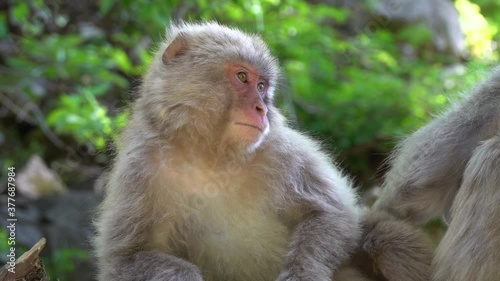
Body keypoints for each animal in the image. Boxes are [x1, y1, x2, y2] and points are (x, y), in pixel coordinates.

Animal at [95, 21, 432, 280]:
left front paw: (301, 274)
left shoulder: (281, 150)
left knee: (380, 237)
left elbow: (332, 214)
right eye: (242, 77)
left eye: (261, 86)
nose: (262, 109)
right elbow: (125, 258)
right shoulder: (141, 168)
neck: (211, 156)